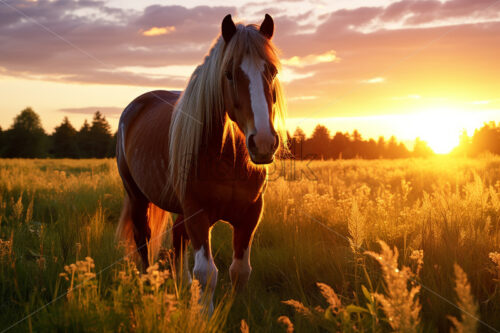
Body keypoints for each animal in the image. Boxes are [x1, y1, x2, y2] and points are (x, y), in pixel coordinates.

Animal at [114, 13, 286, 312]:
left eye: (272, 72)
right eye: (229, 74)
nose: (263, 142)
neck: (228, 160)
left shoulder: (250, 213)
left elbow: (240, 270)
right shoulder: (197, 213)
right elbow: (207, 273)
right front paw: (205, 314)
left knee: (177, 240)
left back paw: (182, 288)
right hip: (137, 197)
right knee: (143, 240)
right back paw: (149, 289)